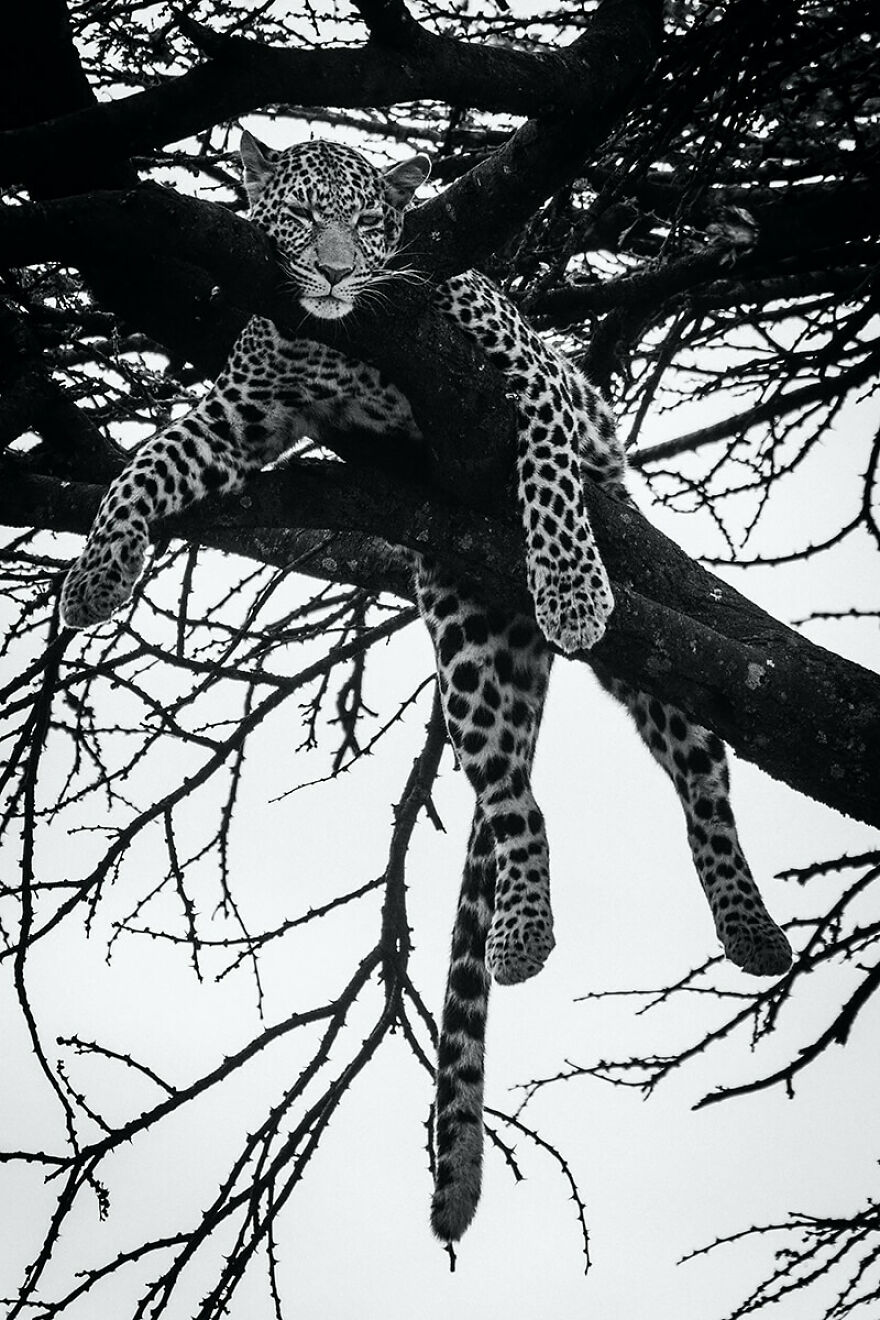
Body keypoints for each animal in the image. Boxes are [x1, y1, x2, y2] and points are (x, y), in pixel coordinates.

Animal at [60, 134, 793, 1247]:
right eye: (295, 218)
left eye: (368, 226)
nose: (330, 276)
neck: (341, 348)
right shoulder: (242, 412)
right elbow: (145, 460)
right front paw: (98, 574)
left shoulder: (527, 380)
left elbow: (544, 477)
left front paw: (571, 585)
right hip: (463, 641)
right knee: (514, 797)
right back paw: (524, 933)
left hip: (658, 652)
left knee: (701, 777)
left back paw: (750, 930)